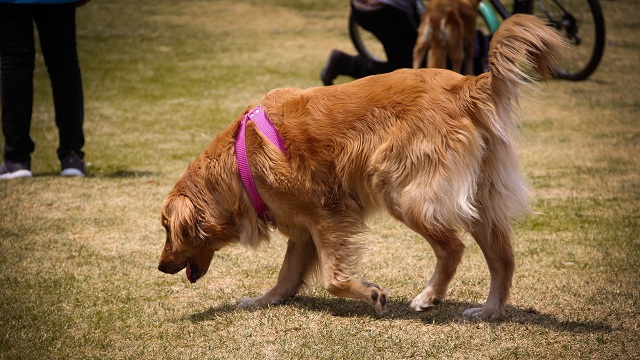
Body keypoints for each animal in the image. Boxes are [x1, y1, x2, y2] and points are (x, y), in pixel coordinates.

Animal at [159, 14, 564, 318]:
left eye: (167, 229)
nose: (161, 266)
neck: (239, 163)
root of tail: (465, 84)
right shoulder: (303, 230)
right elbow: (287, 276)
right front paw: (262, 300)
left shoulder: (328, 213)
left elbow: (332, 278)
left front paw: (371, 293)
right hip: (479, 196)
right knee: (503, 258)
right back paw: (489, 310)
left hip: (402, 191)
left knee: (453, 248)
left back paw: (429, 296)